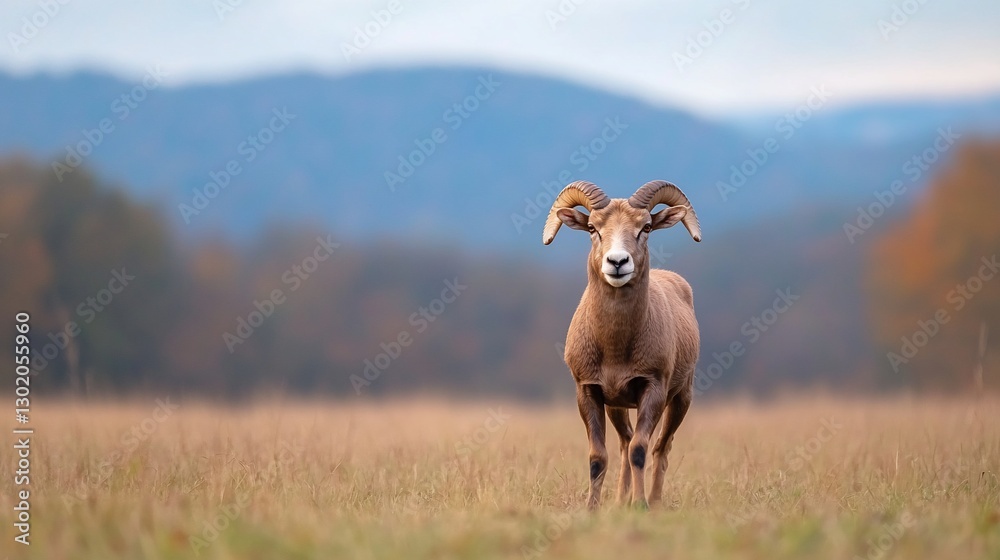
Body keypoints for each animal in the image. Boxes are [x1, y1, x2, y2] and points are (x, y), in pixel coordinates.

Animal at [542, 180, 701, 510]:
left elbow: (641, 449)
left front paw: (640, 506)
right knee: (625, 443)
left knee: (659, 448)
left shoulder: (652, 390)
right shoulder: (589, 392)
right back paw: (620, 501)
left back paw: (653, 503)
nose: (617, 262)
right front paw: (593, 510)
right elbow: (598, 457)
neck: (615, 348)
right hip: (618, 405)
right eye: (592, 227)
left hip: (681, 398)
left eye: (646, 227)